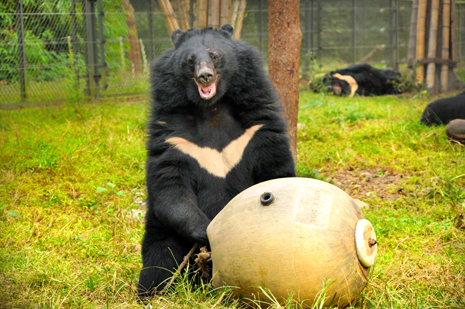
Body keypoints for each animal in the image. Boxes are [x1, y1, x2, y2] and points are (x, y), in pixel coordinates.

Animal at [138, 24, 296, 298]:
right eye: (190, 60)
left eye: (214, 55)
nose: (205, 76)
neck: (210, 108)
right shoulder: (173, 138)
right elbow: (170, 187)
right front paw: (207, 230)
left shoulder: (258, 127)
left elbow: (276, 167)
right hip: (160, 232)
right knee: (159, 259)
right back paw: (152, 292)